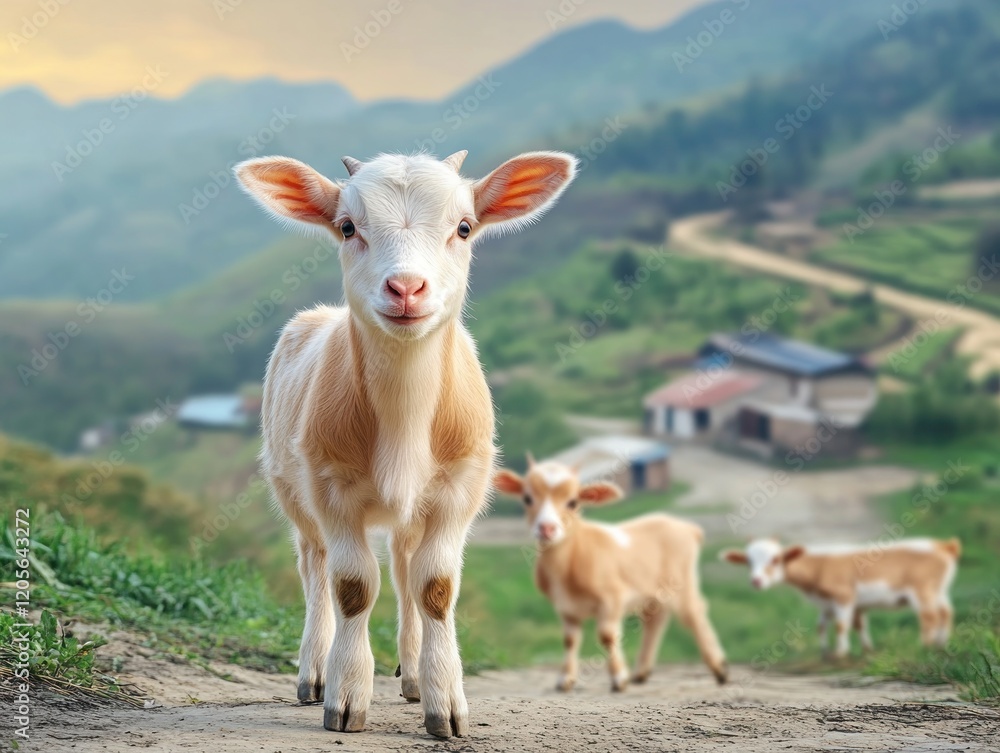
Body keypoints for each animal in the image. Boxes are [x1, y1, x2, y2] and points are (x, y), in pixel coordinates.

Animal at [234, 149, 577, 738]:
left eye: (464, 227)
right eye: (348, 227)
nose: (407, 288)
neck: (404, 417)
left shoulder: (460, 487)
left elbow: (434, 587)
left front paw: (446, 703)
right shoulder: (332, 486)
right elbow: (352, 586)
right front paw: (346, 697)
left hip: (411, 510)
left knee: (402, 569)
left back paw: (414, 677)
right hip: (291, 489)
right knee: (315, 569)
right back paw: (313, 673)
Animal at [493, 457, 728, 692]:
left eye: (573, 502)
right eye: (527, 498)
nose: (546, 528)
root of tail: (686, 527)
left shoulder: (612, 597)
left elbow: (607, 636)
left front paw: (619, 678)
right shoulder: (565, 606)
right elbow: (569, 640)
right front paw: (565, 679)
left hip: (681, 581)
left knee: (694, 613)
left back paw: (719, 669)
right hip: (653, 592)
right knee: (655, 619)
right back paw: (641, 672)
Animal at [721, 537, 961, 657]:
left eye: (775, 559)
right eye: (749, 561)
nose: (756, 581)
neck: (818, 566)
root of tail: (942, 545)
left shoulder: (843, 596)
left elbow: (841, 626)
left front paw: (840, 653)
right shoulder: (830, 603)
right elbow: (830, 626)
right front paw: (830, 651)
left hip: (923, 590)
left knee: (929, 616)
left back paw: (925, 647)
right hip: (939, 591)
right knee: (946, 612)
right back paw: (942, 644)